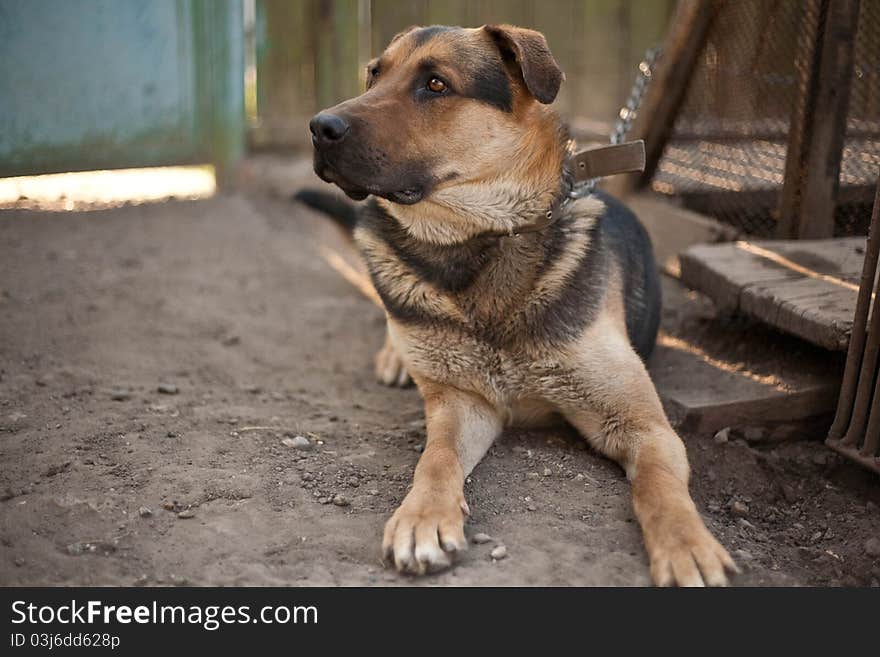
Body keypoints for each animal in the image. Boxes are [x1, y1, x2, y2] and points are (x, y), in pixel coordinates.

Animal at [296, 23, 736, 584]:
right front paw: (422, 518)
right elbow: (435, 458)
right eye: (374, 74)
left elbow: (660, 487)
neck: (477, 242)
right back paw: (395, 356)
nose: (319, 127)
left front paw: (686, 545)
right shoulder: (462, 403)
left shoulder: (645, 427)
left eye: (435, 84)